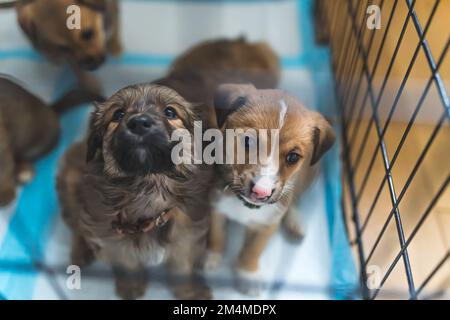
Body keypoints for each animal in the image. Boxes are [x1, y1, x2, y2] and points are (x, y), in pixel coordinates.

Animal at [56, 84, 214, 298]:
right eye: (118, 114)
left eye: (170, 112)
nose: (139, 123)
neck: (148, 186)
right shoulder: (111, 238)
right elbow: (128, 264)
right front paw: (131, 287)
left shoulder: (186, 236)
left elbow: (183, 268)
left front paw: (190, 292)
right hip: (71, 185)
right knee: (77, 226)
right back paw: (80, 252)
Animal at [206, 83, 336, 296]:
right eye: (248, 141)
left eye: (293, 157)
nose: (261, 192)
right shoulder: (216, 207)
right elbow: (216, 234)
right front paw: (211, 255)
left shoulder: (268, 225)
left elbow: (253, 250)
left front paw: (248, 273)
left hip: (309, 176)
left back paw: (294, 222)